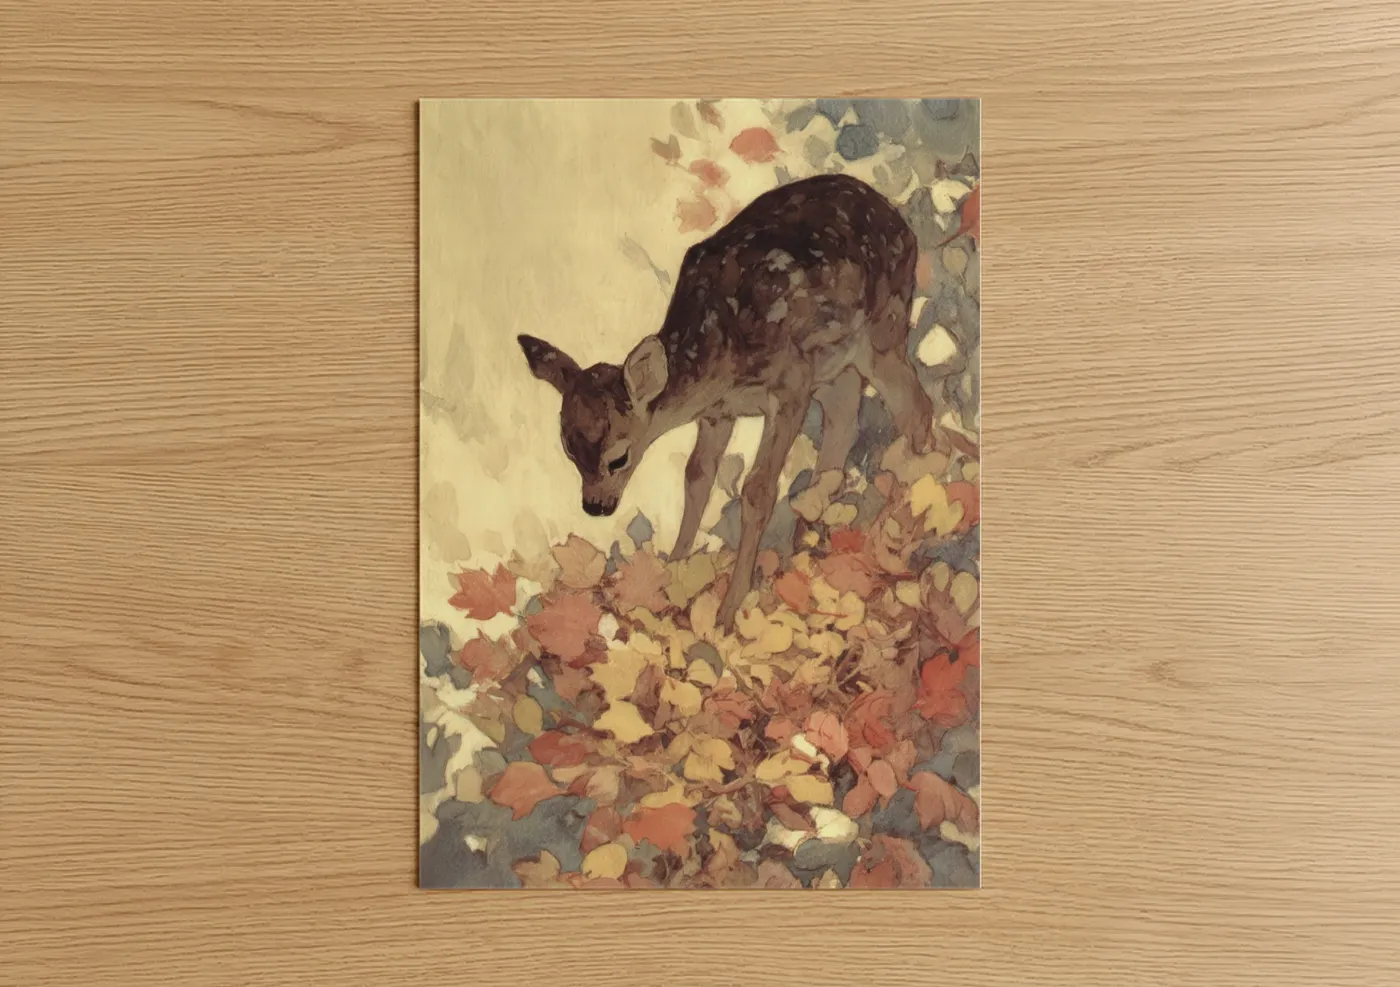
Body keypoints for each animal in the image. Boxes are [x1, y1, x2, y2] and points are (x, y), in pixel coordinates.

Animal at [519, 173, 934, 632]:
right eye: (568, 451)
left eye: (618, 457)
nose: (594, 506)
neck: (717, 352)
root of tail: (903, 224)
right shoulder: (718, 412)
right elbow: (696, 476)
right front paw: (673, 568)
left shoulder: (789, 382)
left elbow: (757, 491)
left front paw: (727, 611)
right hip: (834, 363)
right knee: (845, 420)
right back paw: (810, 534)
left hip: (880, 330)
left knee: (915, 407)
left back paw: (905, 516)